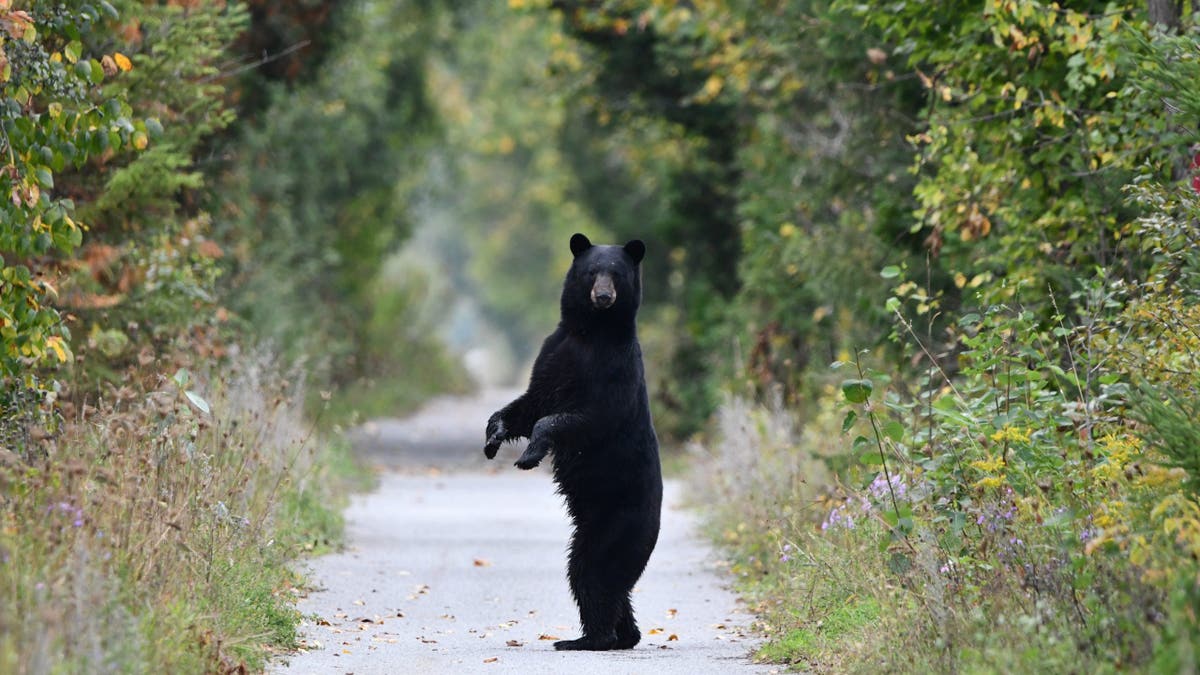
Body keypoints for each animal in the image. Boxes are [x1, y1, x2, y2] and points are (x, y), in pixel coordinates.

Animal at [483, 232, 663, 652]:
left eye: (616, 273)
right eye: (591, 272)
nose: (603, 295)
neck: (590, 332)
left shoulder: (614, 370)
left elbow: (581, 417)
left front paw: (529, 455)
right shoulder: (553, 353)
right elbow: (530, 404)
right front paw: (494, 436)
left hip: (619, 525)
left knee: (596, 575)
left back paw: (588, 638)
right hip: (594, 529)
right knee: (596, 578)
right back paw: (622, 634)